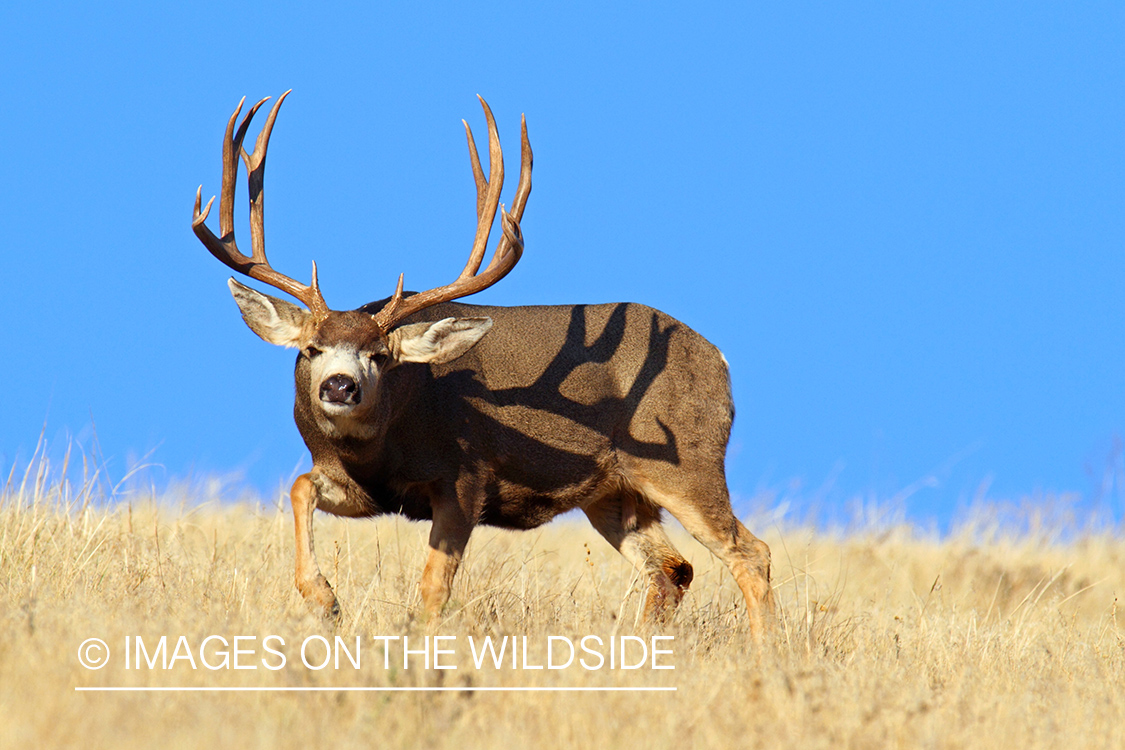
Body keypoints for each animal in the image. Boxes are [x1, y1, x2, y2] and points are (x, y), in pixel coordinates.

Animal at [191, 92, 775, 640]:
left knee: (751, 553)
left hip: (687, 464)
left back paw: (766, 656)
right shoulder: (361, 488)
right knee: (673, 569)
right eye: (310, 348)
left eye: (381, 356)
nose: (339, 386)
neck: (383, 444)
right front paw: (325, 599)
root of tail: (720, 360)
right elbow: (297, 487)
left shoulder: (464, 478)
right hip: (614, 491)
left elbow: (433, 587)